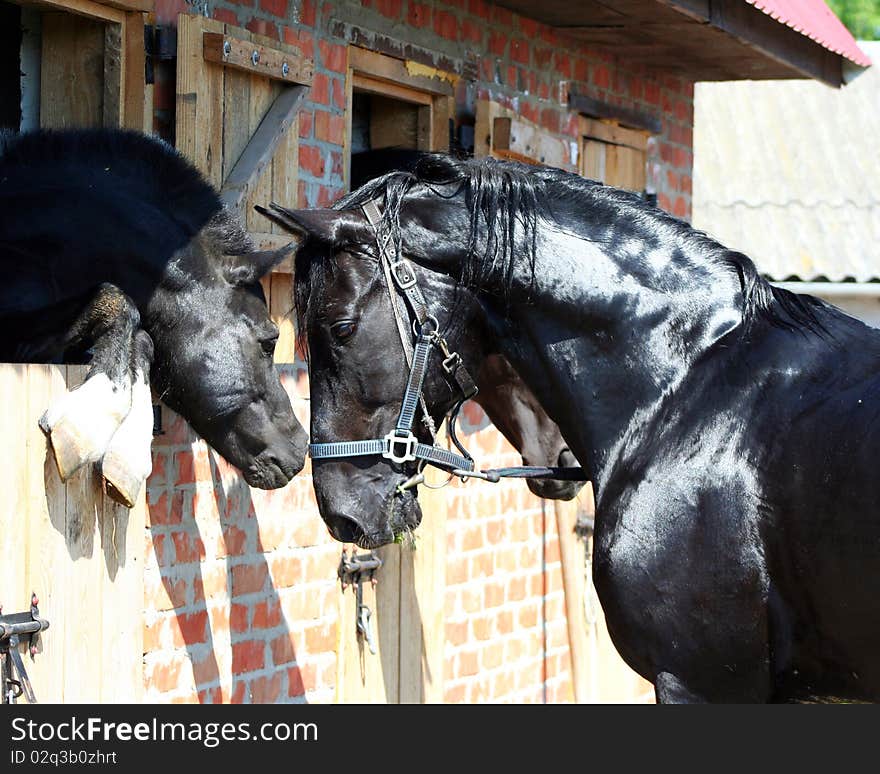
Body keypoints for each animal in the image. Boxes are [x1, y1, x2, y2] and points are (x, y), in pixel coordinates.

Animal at [0, 130, 310, 506]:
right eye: (269, 341)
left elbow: (143, 337)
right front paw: (84, 428)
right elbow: (120, 303)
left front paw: (124, 461)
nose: (298, 451)